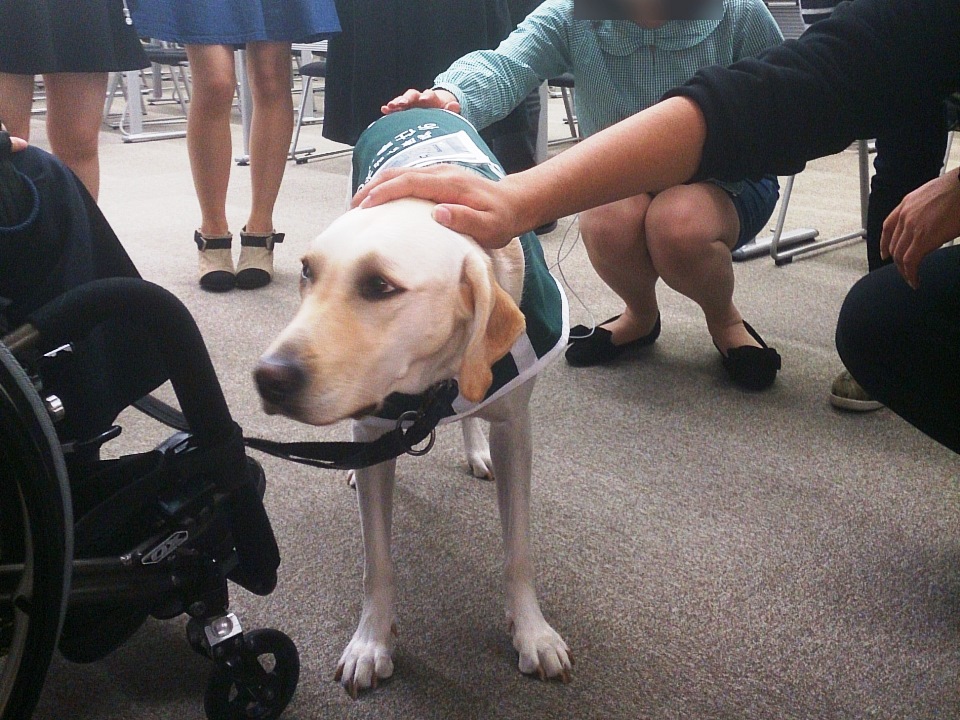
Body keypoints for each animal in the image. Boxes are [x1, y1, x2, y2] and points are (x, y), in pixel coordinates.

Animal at [253, 109, 568, 696]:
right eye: (307, 271)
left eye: (380, 286)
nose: (268, 378)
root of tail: (414, 106)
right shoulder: (374, 425)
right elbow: (377, 560)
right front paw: (371, 642)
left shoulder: (515, 427)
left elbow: (518, 550)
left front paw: (531, 631)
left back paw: (474, 447)